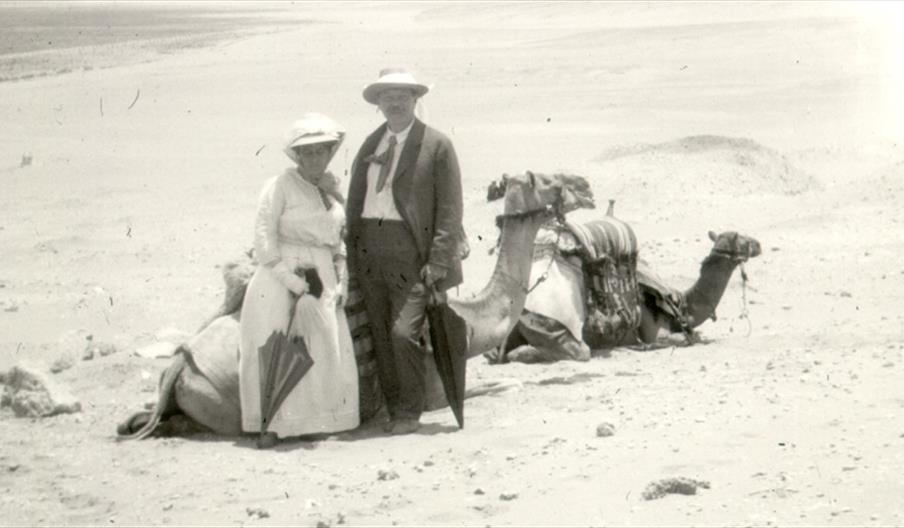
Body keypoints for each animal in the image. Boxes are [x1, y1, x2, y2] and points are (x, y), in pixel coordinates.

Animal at [118, 171, 592, 440]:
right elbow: (483, 388)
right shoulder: (436, 392)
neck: (472, 323)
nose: (585, 188)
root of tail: (181, 361)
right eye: (548, 181)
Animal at [494, 220, 764, 364]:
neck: (681, 303)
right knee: (577, 351)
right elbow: (686, 338)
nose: (758, 243)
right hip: (550, 321)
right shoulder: (655, 331)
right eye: (742, 240)